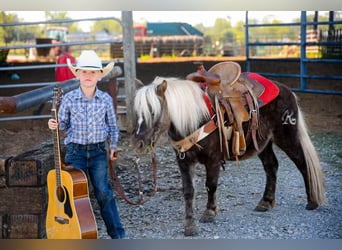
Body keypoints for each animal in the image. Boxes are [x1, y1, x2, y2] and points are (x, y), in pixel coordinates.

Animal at [131, 73, 326, 236]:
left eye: (153, 112)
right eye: (136, 112)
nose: (137, 144)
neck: (195, 118)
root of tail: (287, 90)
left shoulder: (213, 159)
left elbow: (210, 185)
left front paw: (210, 212)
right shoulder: (184, 161)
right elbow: (188, 191)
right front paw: (190, 226)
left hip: (287, 136)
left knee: (302, 163)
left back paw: (312, 201)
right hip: (262, 143)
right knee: (271, 166)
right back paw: (265, 201)